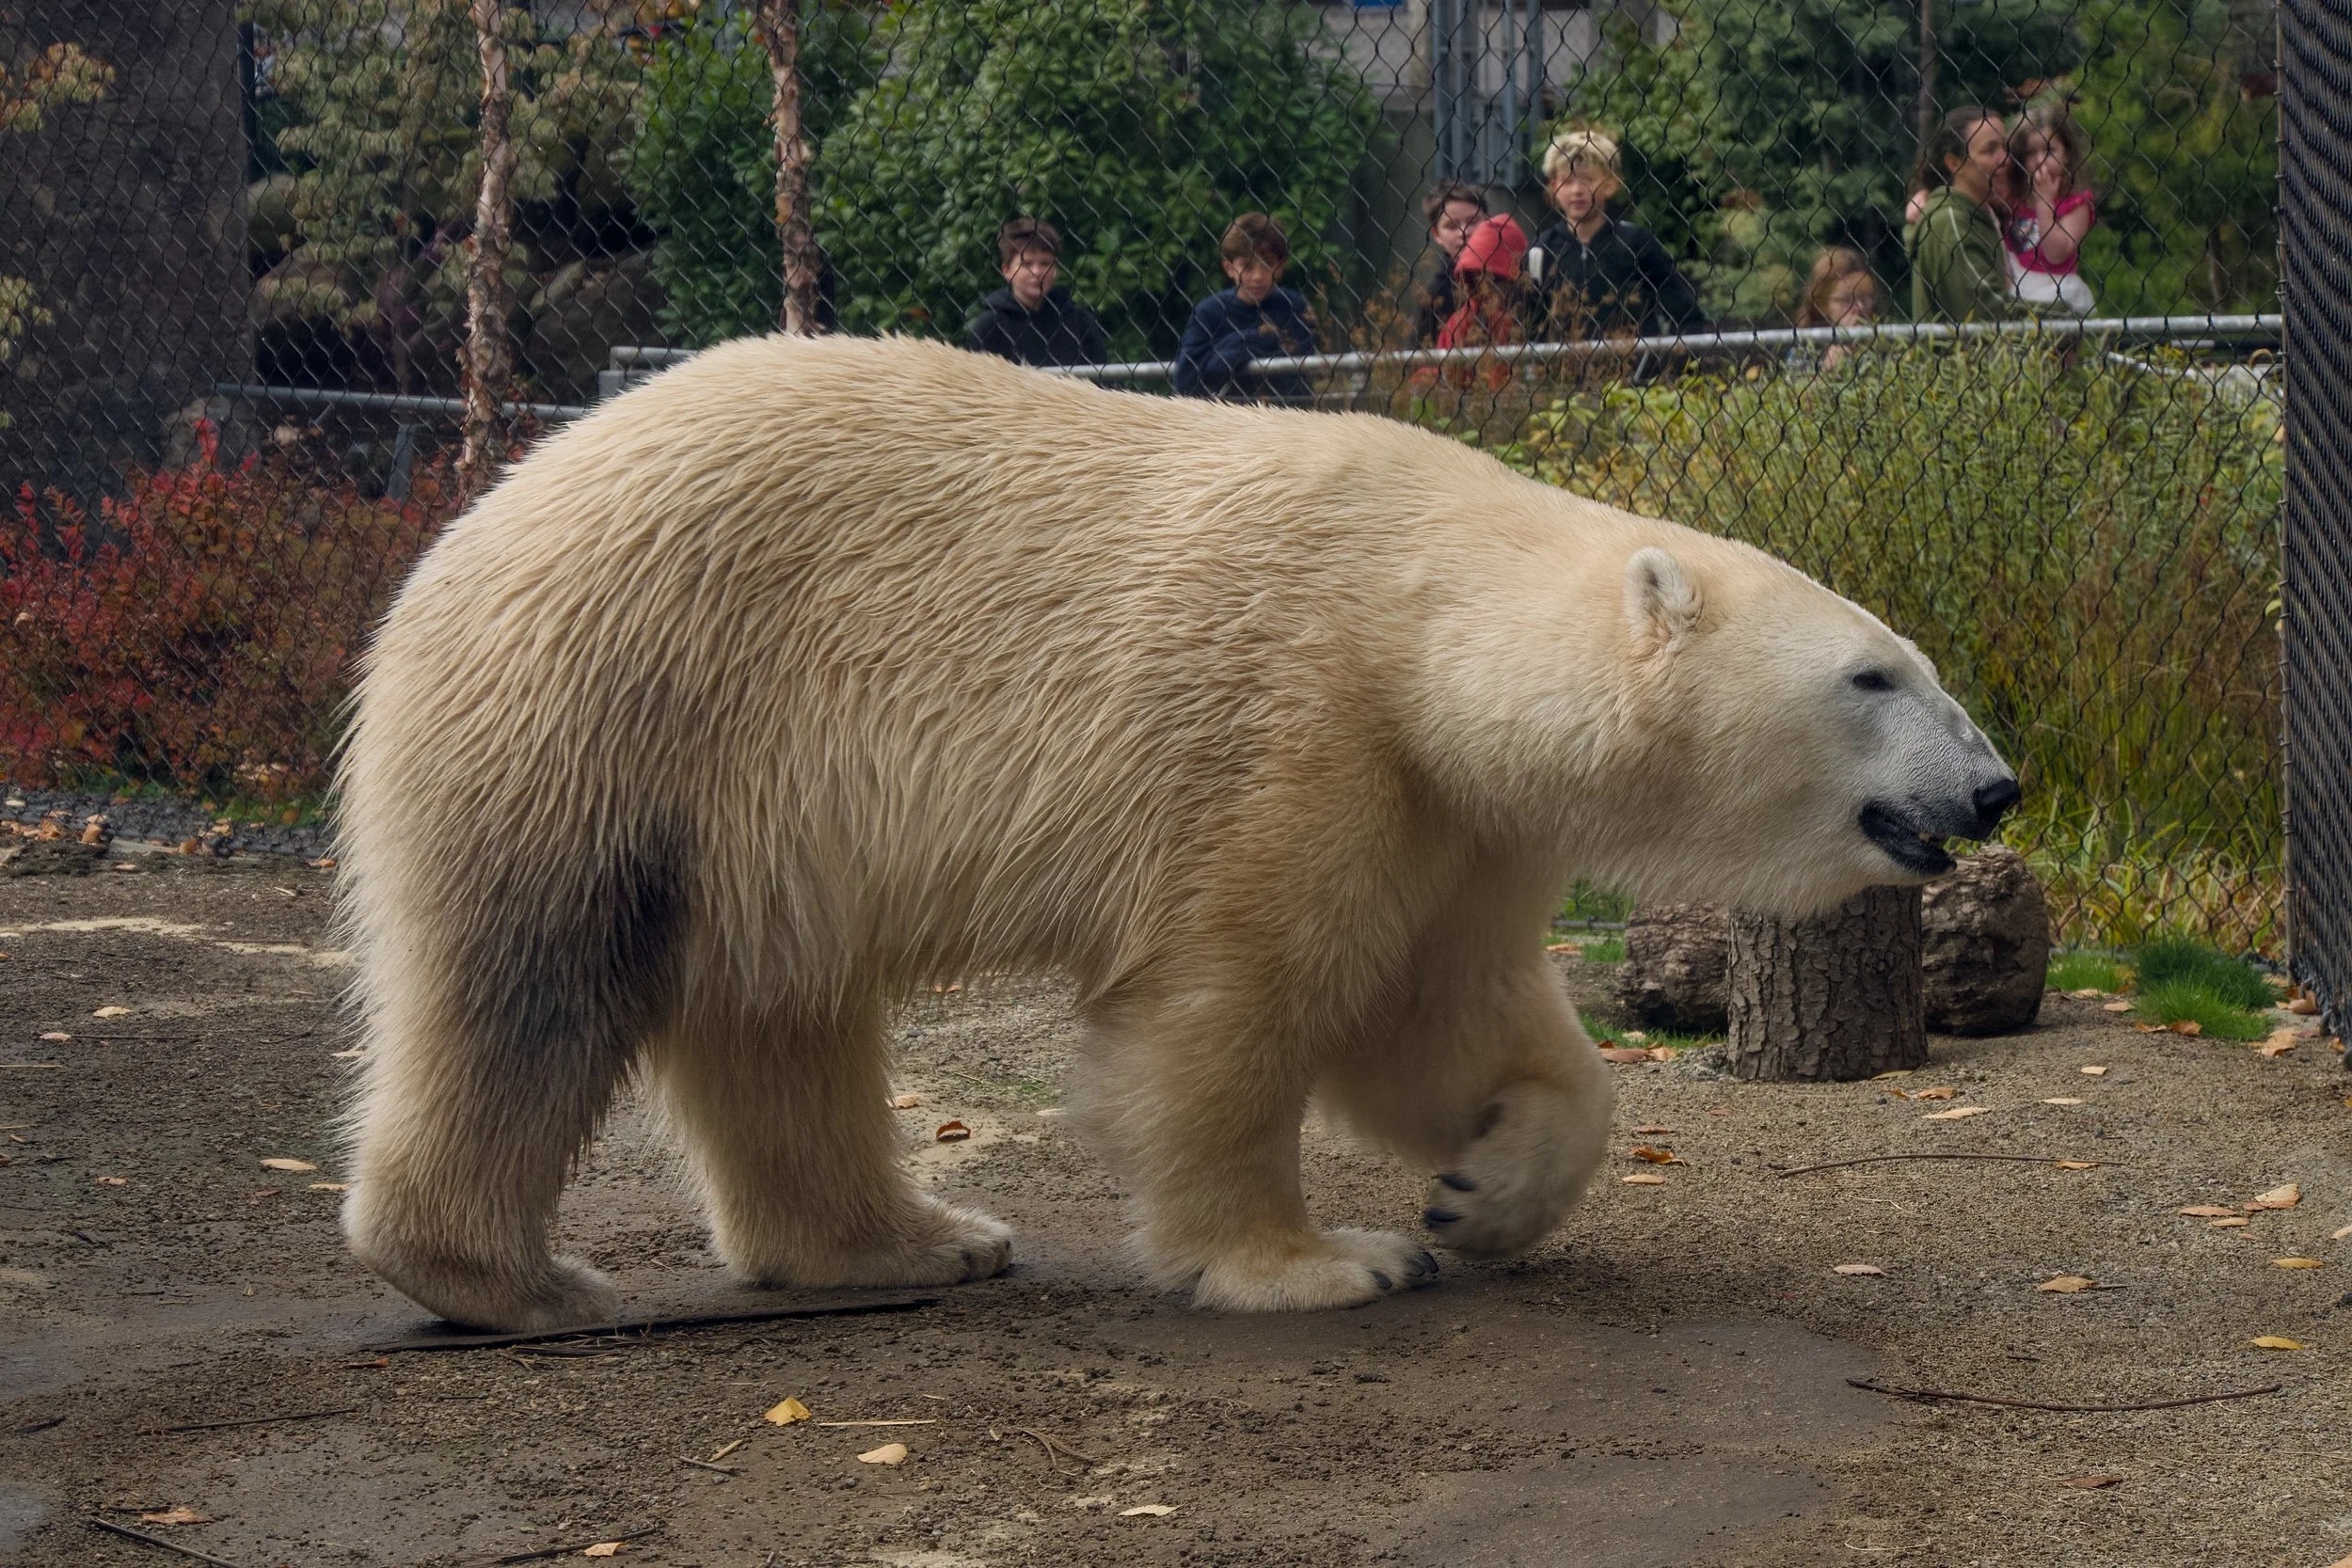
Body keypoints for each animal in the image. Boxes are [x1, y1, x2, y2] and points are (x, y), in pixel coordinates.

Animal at [336, 333, 2017, 1331]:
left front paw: (1482, 1188)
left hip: (740, 808)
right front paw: (1320, 1258)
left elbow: (1441, 1016)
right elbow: (1231, 1001)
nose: (1997, 787)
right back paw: (509, 1273)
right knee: (535, 978)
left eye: (1915, 660)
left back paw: (916, 1236)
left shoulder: (1449, 812)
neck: (1421, 615)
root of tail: (474, 516)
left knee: (777, 1012)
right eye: (1874, 675)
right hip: (615, 708)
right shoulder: (1289, 730)